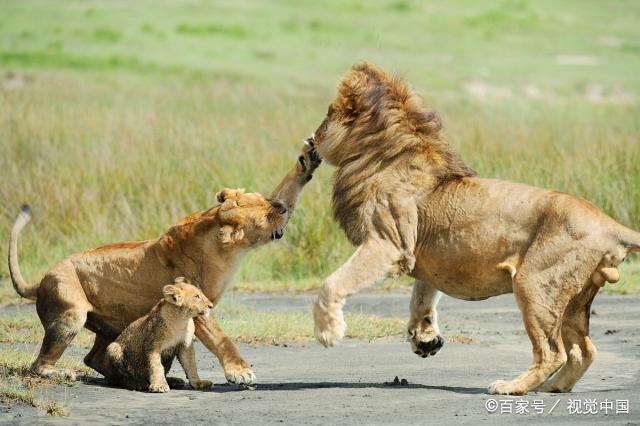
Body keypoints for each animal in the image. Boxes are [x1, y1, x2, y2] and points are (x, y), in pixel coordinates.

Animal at [8, 141, 320, 386]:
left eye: (265, 199)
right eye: (266, 215)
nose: (282, 208)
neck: (221, 244)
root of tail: (41, 280)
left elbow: (288, 186)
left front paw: (308, 159)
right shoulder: (197, 306)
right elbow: (221, 339)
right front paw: (240, 372)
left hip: (110, 326)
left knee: (94, 358)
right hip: (70, 316)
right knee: (39, 365)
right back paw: (62, 374)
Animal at [312, 62, 640, 396]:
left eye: (327, 113)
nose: (313, 138)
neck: (383, 153)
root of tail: (609, 223)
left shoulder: (389, 244)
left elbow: (331, 285)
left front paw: (328, 331)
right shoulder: (424, 256)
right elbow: (421, 297)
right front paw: (425, 337)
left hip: (534, 283)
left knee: (552, 351)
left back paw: (512, 386)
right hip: (573, 299)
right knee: (584, 351)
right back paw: (552, 387)